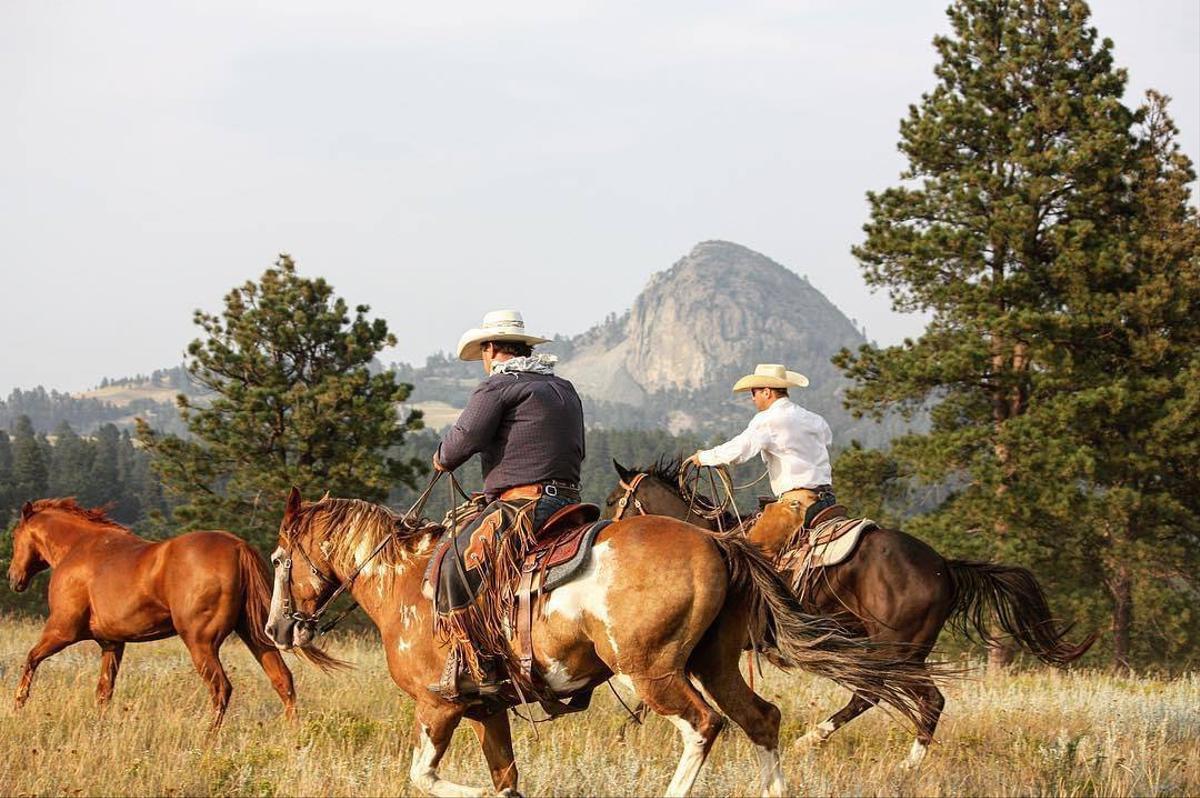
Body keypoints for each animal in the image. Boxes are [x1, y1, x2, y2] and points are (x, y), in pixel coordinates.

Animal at [7, 499, 340, 729]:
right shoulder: (112, 644)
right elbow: (104, 691)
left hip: (200, 643)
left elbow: (30, 659)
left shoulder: (62, 630)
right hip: (256, 635)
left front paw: (18, 704)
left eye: (14, 536)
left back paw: (207, 740)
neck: (79, 548)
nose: (13, 578)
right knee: (283, 681)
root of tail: (237, 547)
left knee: (221, 688)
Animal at [609, 458, 1099, 768]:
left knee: (898, 697)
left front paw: (626, 731)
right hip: (897, 652)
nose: (609, 534)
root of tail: (944, 567)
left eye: (618, 499)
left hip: (894, 651)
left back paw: (862, 753)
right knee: (893, 698)